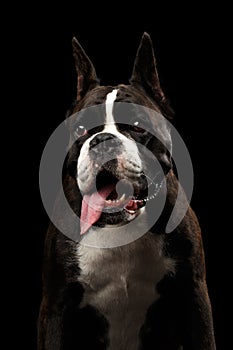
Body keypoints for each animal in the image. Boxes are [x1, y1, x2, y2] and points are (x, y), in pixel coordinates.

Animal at [37, 32, 216, 350]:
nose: (102, 140)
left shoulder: (194, 297)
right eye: (81, 129)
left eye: (137, 125)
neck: (118, 225)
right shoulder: (56, 307)